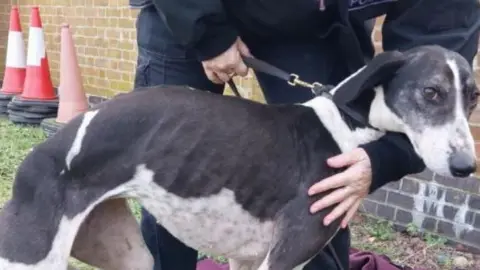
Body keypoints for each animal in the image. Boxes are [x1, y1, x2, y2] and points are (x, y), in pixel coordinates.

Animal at [0, 44, 480, 270]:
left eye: (473, 97)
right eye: (431, 92)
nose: (465, 168)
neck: (344, 124)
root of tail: (46, 150)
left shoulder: (248, 259)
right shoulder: (283, 259)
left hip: (126, 253)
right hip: (32, 256)